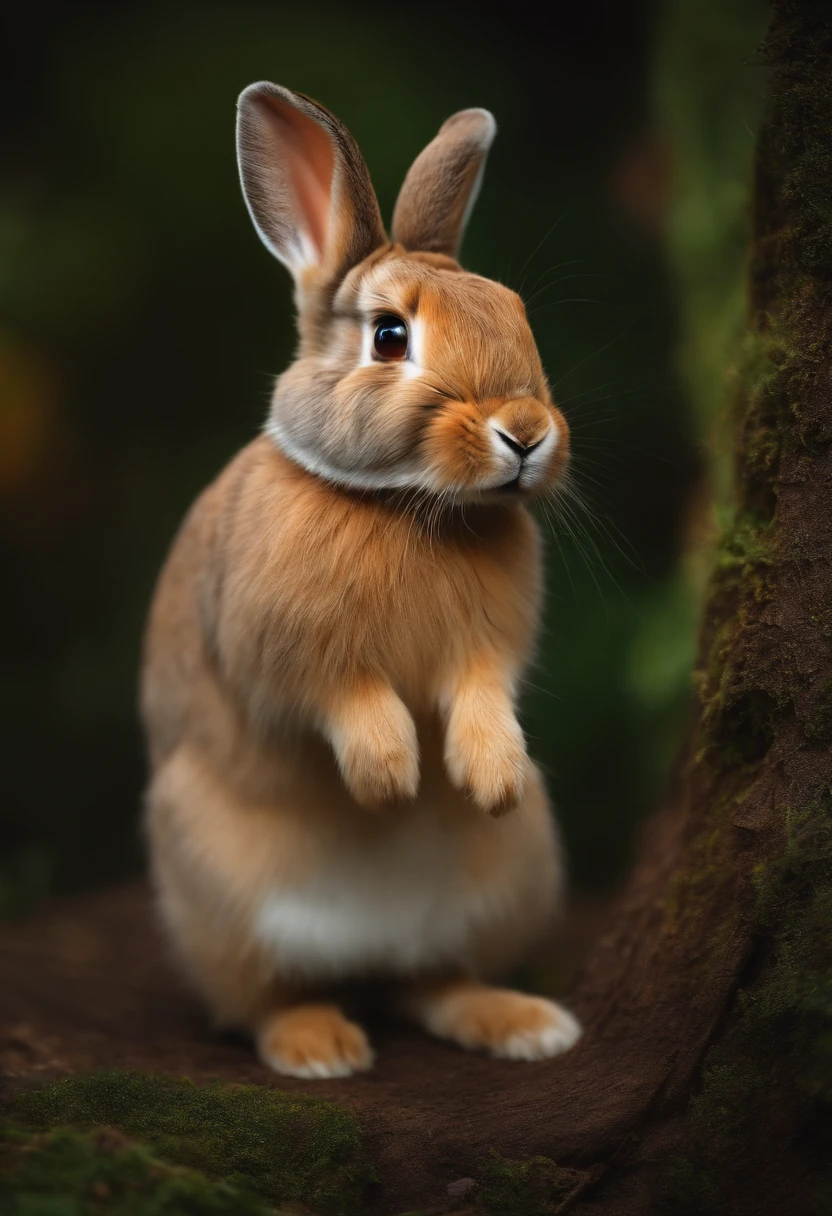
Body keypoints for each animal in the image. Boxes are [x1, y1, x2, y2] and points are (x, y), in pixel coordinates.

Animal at [141, 81, 582, 1080]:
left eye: (518, 314)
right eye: (390, 336)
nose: (526, 432)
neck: (407, 505)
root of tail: (369, 958)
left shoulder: (487, 654)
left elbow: (482, 692)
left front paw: (490, 777)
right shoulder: (285, 656)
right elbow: (343, 698)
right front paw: (389, 778)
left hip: (508, 881)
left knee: (434, 985)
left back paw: (527, 1025)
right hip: (219, 897)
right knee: (264, 1000)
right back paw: (320, 1048)